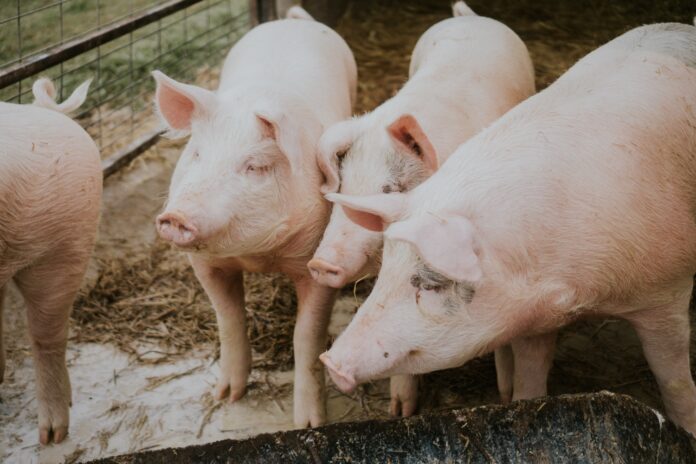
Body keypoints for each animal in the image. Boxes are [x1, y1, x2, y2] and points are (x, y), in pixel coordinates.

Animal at [153, 7, 356, 428]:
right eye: (196, 153)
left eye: (256, 166)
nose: (177, 216)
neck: (258, 256)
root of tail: (291, 20)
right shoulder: (204, 264)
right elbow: (228, 319)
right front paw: (227, 397)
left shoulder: (318, 260)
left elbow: (307, 337)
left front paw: (309, 423)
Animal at [307, 1, 535, 416]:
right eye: (344, 185)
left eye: (391, 188)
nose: (320, 263)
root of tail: (468, 16)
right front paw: (400, 411)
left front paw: (506, 394)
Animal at [320, 22, 696, 436]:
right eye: (386, 271)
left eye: (431, 283)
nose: (330, 361)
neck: (577, 293)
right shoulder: (533, 318)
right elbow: (530, 381)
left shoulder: (667, 292)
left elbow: (674, 380)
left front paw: (688, 430)